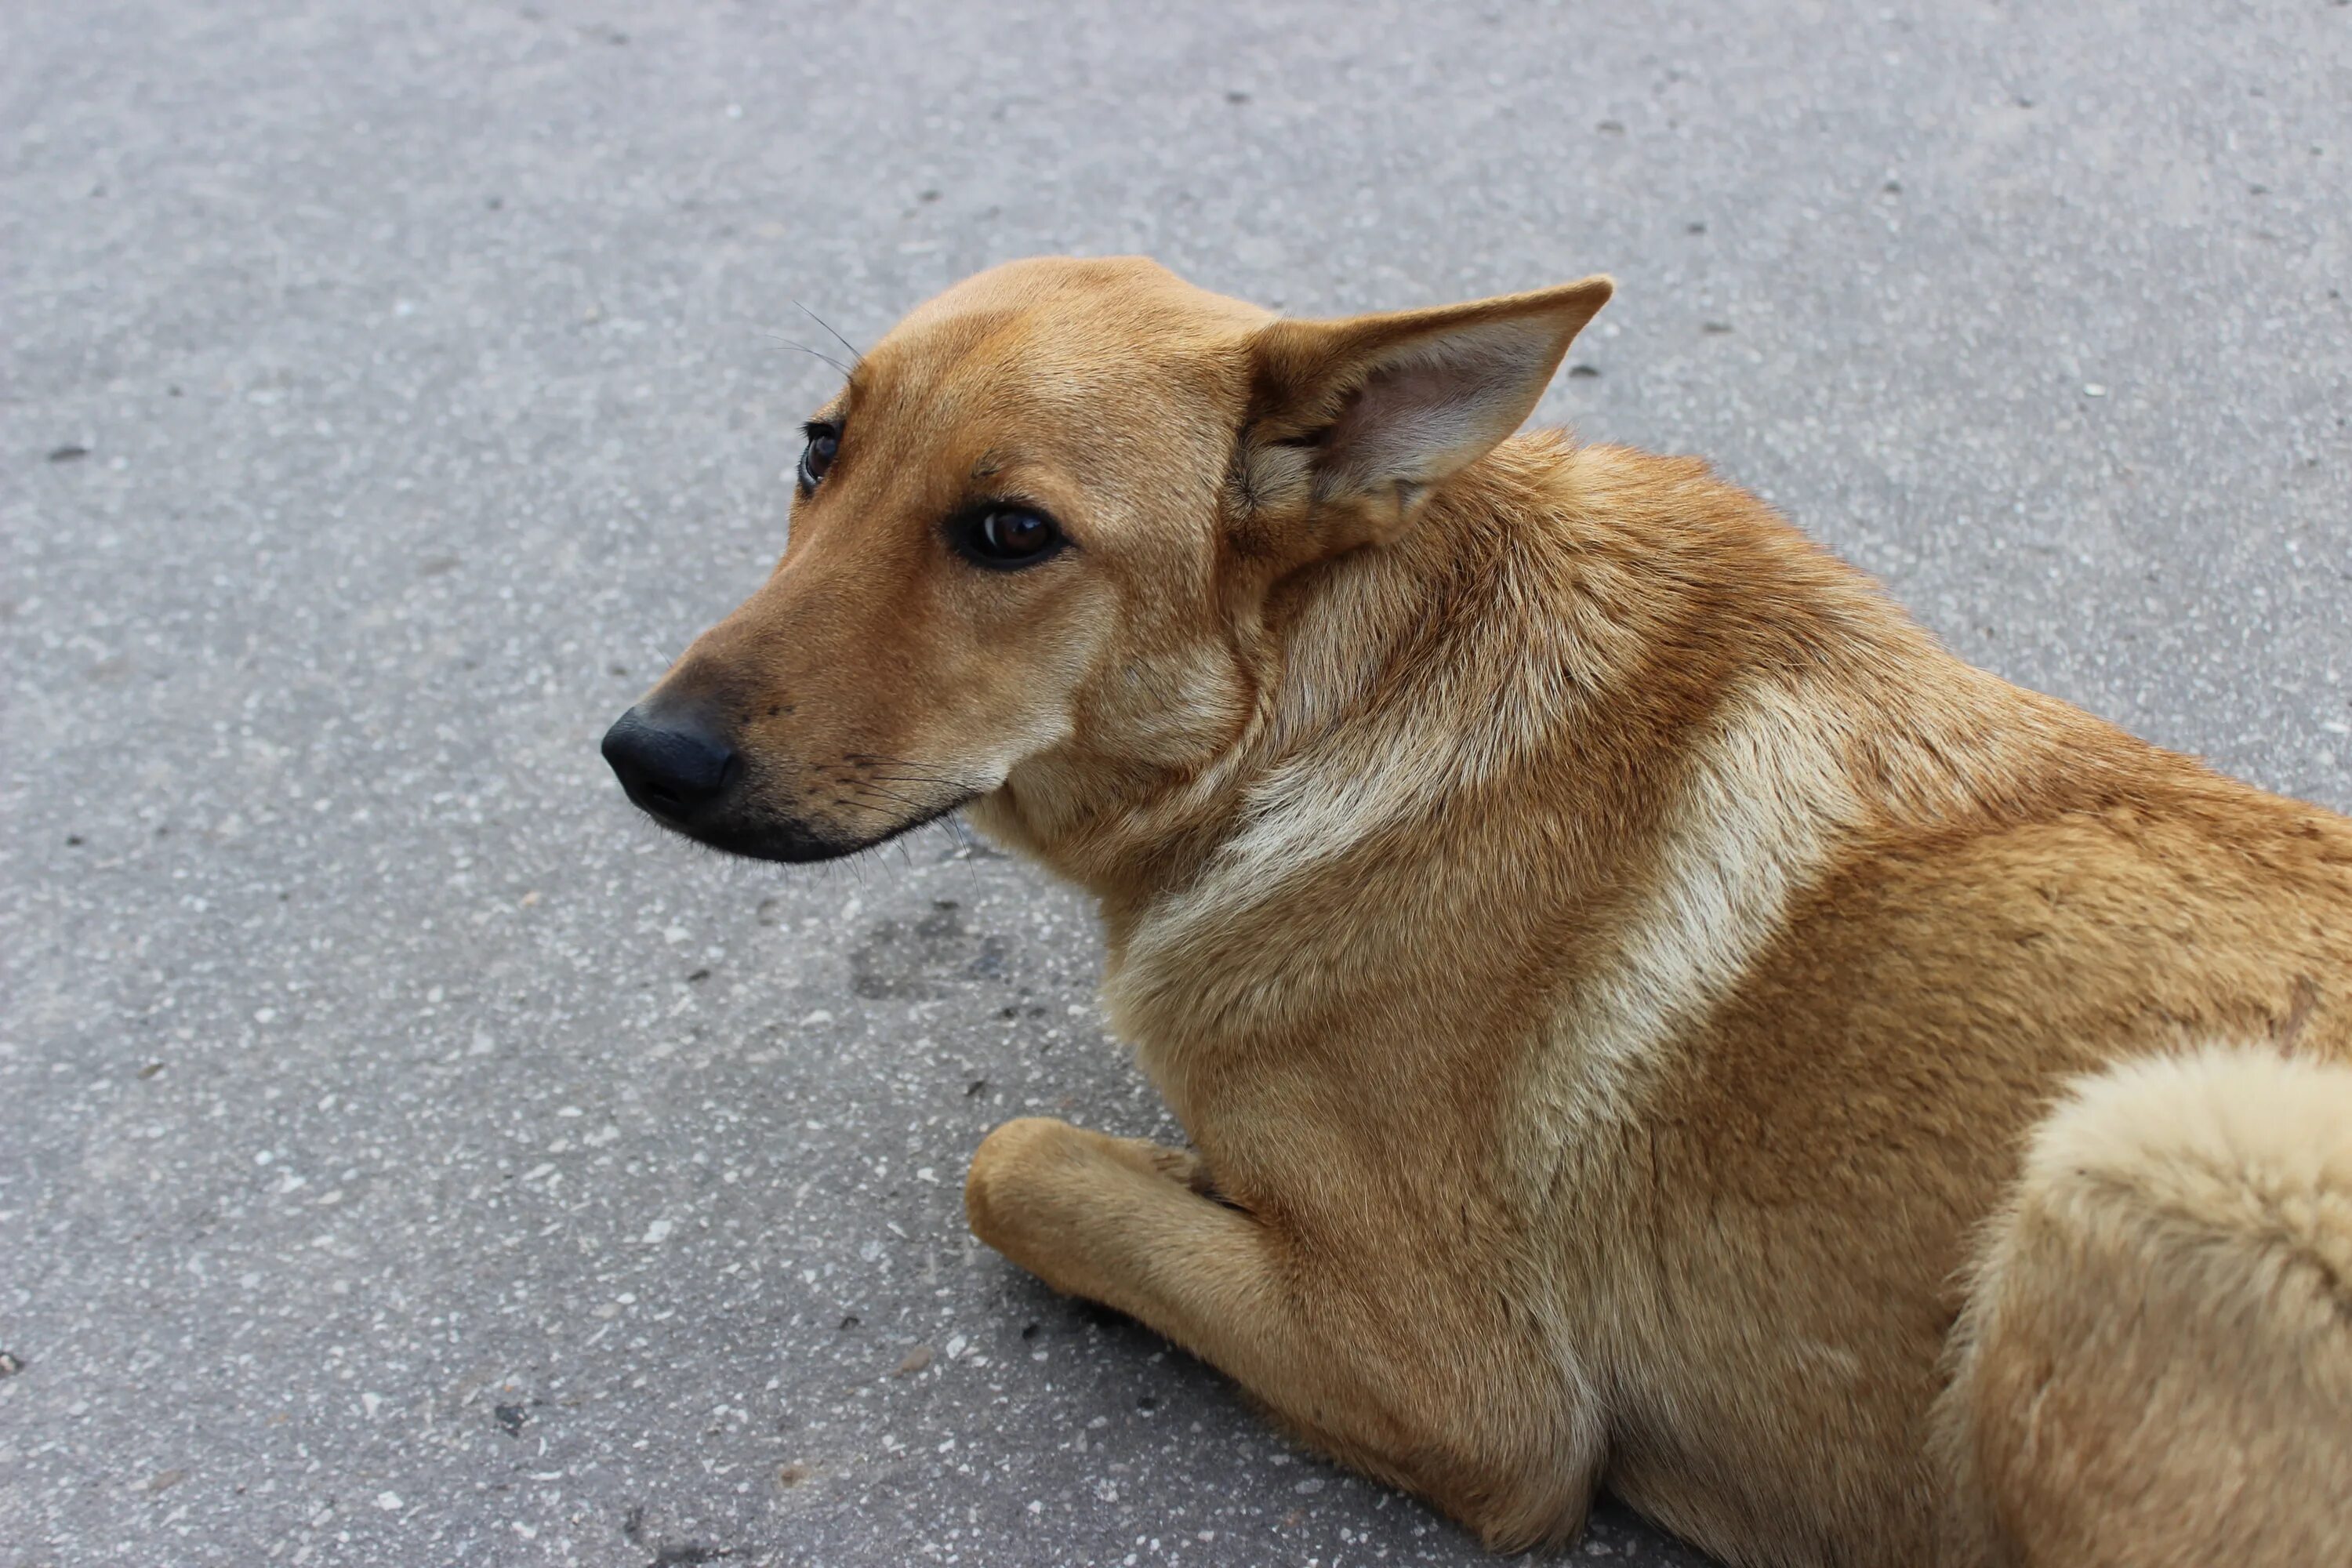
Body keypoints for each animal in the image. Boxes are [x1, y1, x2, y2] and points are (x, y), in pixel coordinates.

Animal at [602, 260, 2352, 1568]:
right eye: (819, 452)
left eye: (1010, 534)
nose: (643, 752)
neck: (1331, 703)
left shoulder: (1475, 1400)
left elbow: (1016, 1163)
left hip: (2146, 1147)